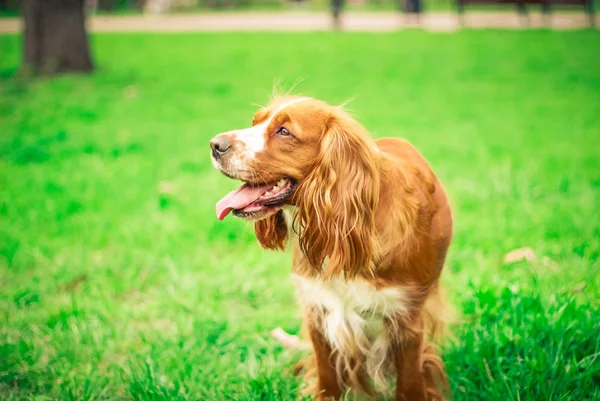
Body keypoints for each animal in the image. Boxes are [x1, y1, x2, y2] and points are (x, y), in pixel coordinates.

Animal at [213, 97, 452, 400]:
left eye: (284, 131)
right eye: (256, 122)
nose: (215, 144)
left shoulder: (407, 321)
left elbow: (409, 385)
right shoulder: (319, 313)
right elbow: (327, 380)